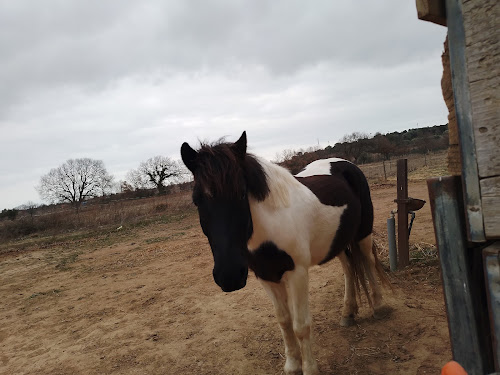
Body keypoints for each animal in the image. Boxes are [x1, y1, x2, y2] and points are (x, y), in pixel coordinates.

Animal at [182, 131, 388, 375]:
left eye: (242, 194)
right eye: (197, 200)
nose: (229, 276)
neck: (271, 227)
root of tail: (347, 164)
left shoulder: (297, 274)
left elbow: (301, 325)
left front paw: (309, 369)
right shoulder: (266, 277)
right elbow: (284, 322)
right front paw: (292, 365)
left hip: (363, 234)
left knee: (368, 262)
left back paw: (379, 307)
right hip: (337, 240)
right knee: (348, 268)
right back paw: (348, 312)